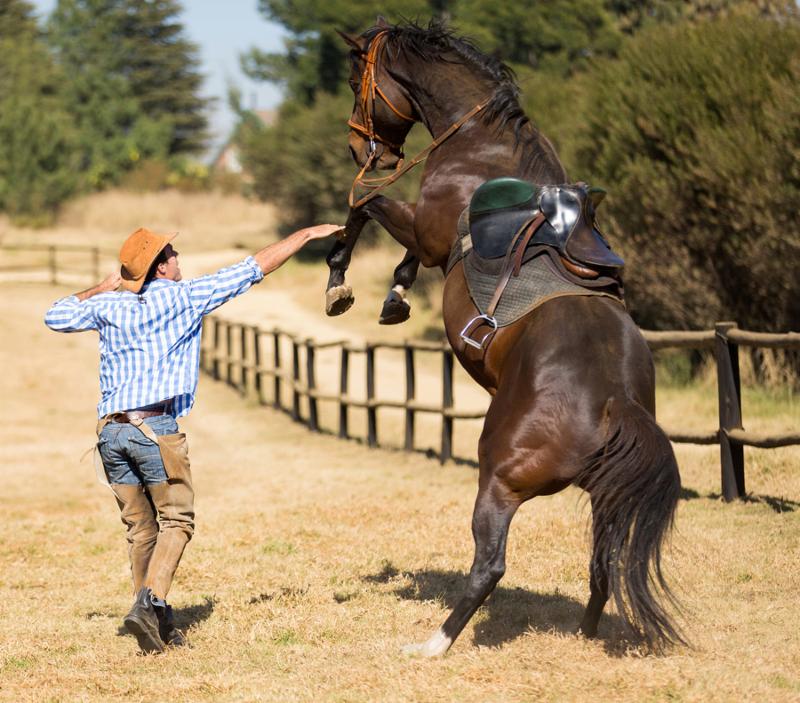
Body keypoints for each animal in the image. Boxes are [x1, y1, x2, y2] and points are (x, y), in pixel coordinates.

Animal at [329, 19, 684, 657]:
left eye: (355, 80)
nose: (358, 148)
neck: (479, 145)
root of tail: (615, 404)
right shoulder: (428, 243)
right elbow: (395, 251)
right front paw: (394, 296)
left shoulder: (424, 230)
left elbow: (362, 203)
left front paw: (339, 278)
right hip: (605, 497)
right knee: (603, 565)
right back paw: (583, 634)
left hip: (498, 477)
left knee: (490, 565)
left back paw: (434, 644)